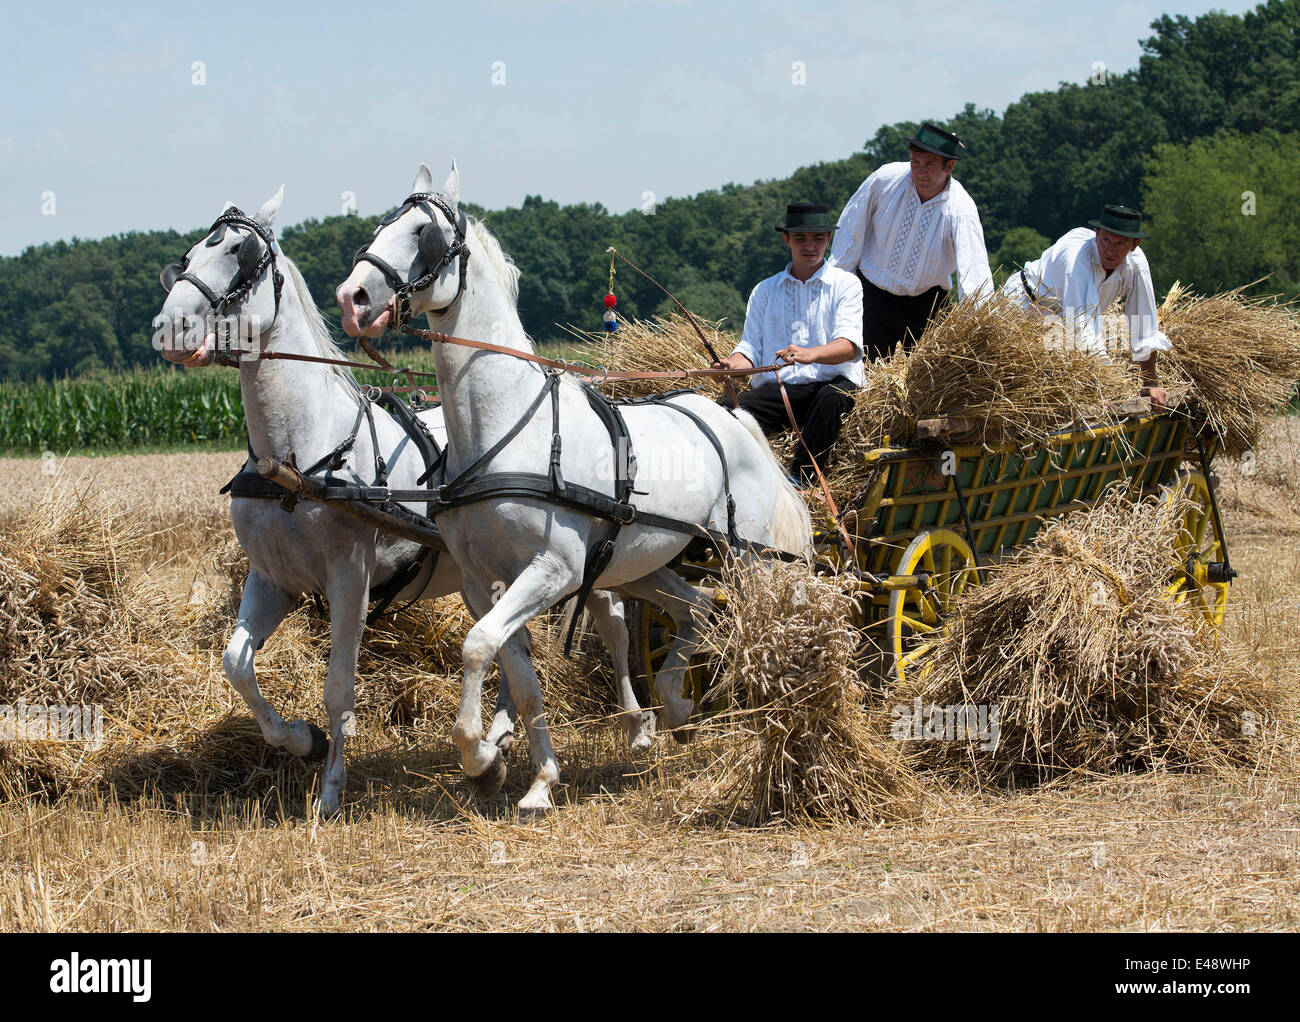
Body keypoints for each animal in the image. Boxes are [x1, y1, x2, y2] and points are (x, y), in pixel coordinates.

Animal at [153, 187, 655, 816]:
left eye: (240, 256)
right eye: (190, 253)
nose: (167, 327)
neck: (298, 454)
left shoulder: (349, 575)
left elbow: (338, 685)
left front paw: (331, 791)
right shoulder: (271, 578)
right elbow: (236, 665)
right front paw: (302, 740)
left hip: (592, 558)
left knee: (611, 621)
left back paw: (636, 726)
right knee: (517, 643)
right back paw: (501, 736)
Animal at [335, 161, 806, 811]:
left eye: (424, 234)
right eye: (382, 224)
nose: (352, 299)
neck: (506, 426)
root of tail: (731, 415)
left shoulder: (554, 569)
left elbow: (477, 646)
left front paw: (481, 755)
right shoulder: (483, 581)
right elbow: (517, 671)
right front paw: (527, 775)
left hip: (746, 557)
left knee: (755, 615)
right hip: (644, 561)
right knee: (698, 609)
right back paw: (676, 708)